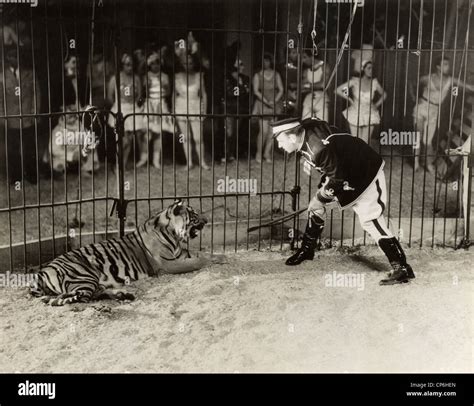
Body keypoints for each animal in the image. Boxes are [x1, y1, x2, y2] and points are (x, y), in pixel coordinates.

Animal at [31, 200, 218, 304]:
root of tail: (42, 271)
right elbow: (199, 260)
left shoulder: (181, 255)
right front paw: (214, 260)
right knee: (77, 296)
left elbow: (199, 254)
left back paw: (123, 295)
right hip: (84, 276)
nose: (207, 220)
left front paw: (217, 256)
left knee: (93, 292)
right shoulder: (169, 264)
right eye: (194, 214)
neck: (174, 235)